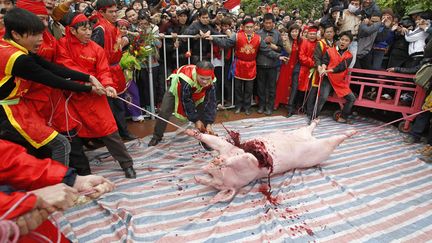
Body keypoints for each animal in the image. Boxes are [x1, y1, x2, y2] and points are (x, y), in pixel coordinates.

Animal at [184, 119, 356, 203]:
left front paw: (218, 161)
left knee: (325, 134)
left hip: (315, 145)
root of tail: (310, 138)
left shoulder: (237, 155)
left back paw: (350, 130)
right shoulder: (241, 160)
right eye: (215, 184)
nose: (205, 169)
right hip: (313, 142)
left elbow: (217, 143)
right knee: (320, 133)